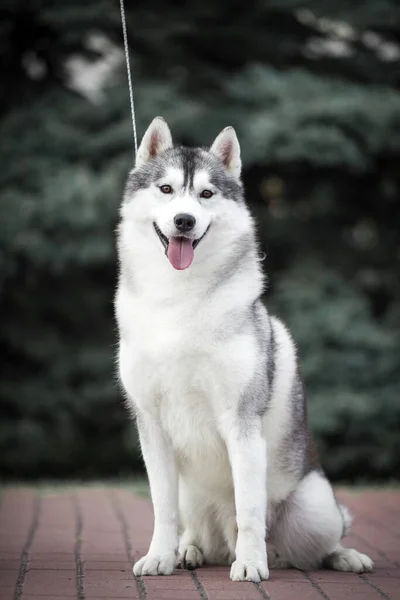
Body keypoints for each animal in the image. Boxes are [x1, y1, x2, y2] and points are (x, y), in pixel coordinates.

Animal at [114, 117, 374, 580]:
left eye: (206, 194)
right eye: (166, 189)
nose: (184, 220)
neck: (178, 297)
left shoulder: (241, 421)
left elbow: (249, 508)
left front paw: (251, 563)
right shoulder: (151, 425)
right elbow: (162, 508)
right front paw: (160, 556)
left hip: (315, 510)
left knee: (321, 542)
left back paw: (342, 557)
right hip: (193, 496)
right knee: (196, 530)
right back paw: (189, 551)